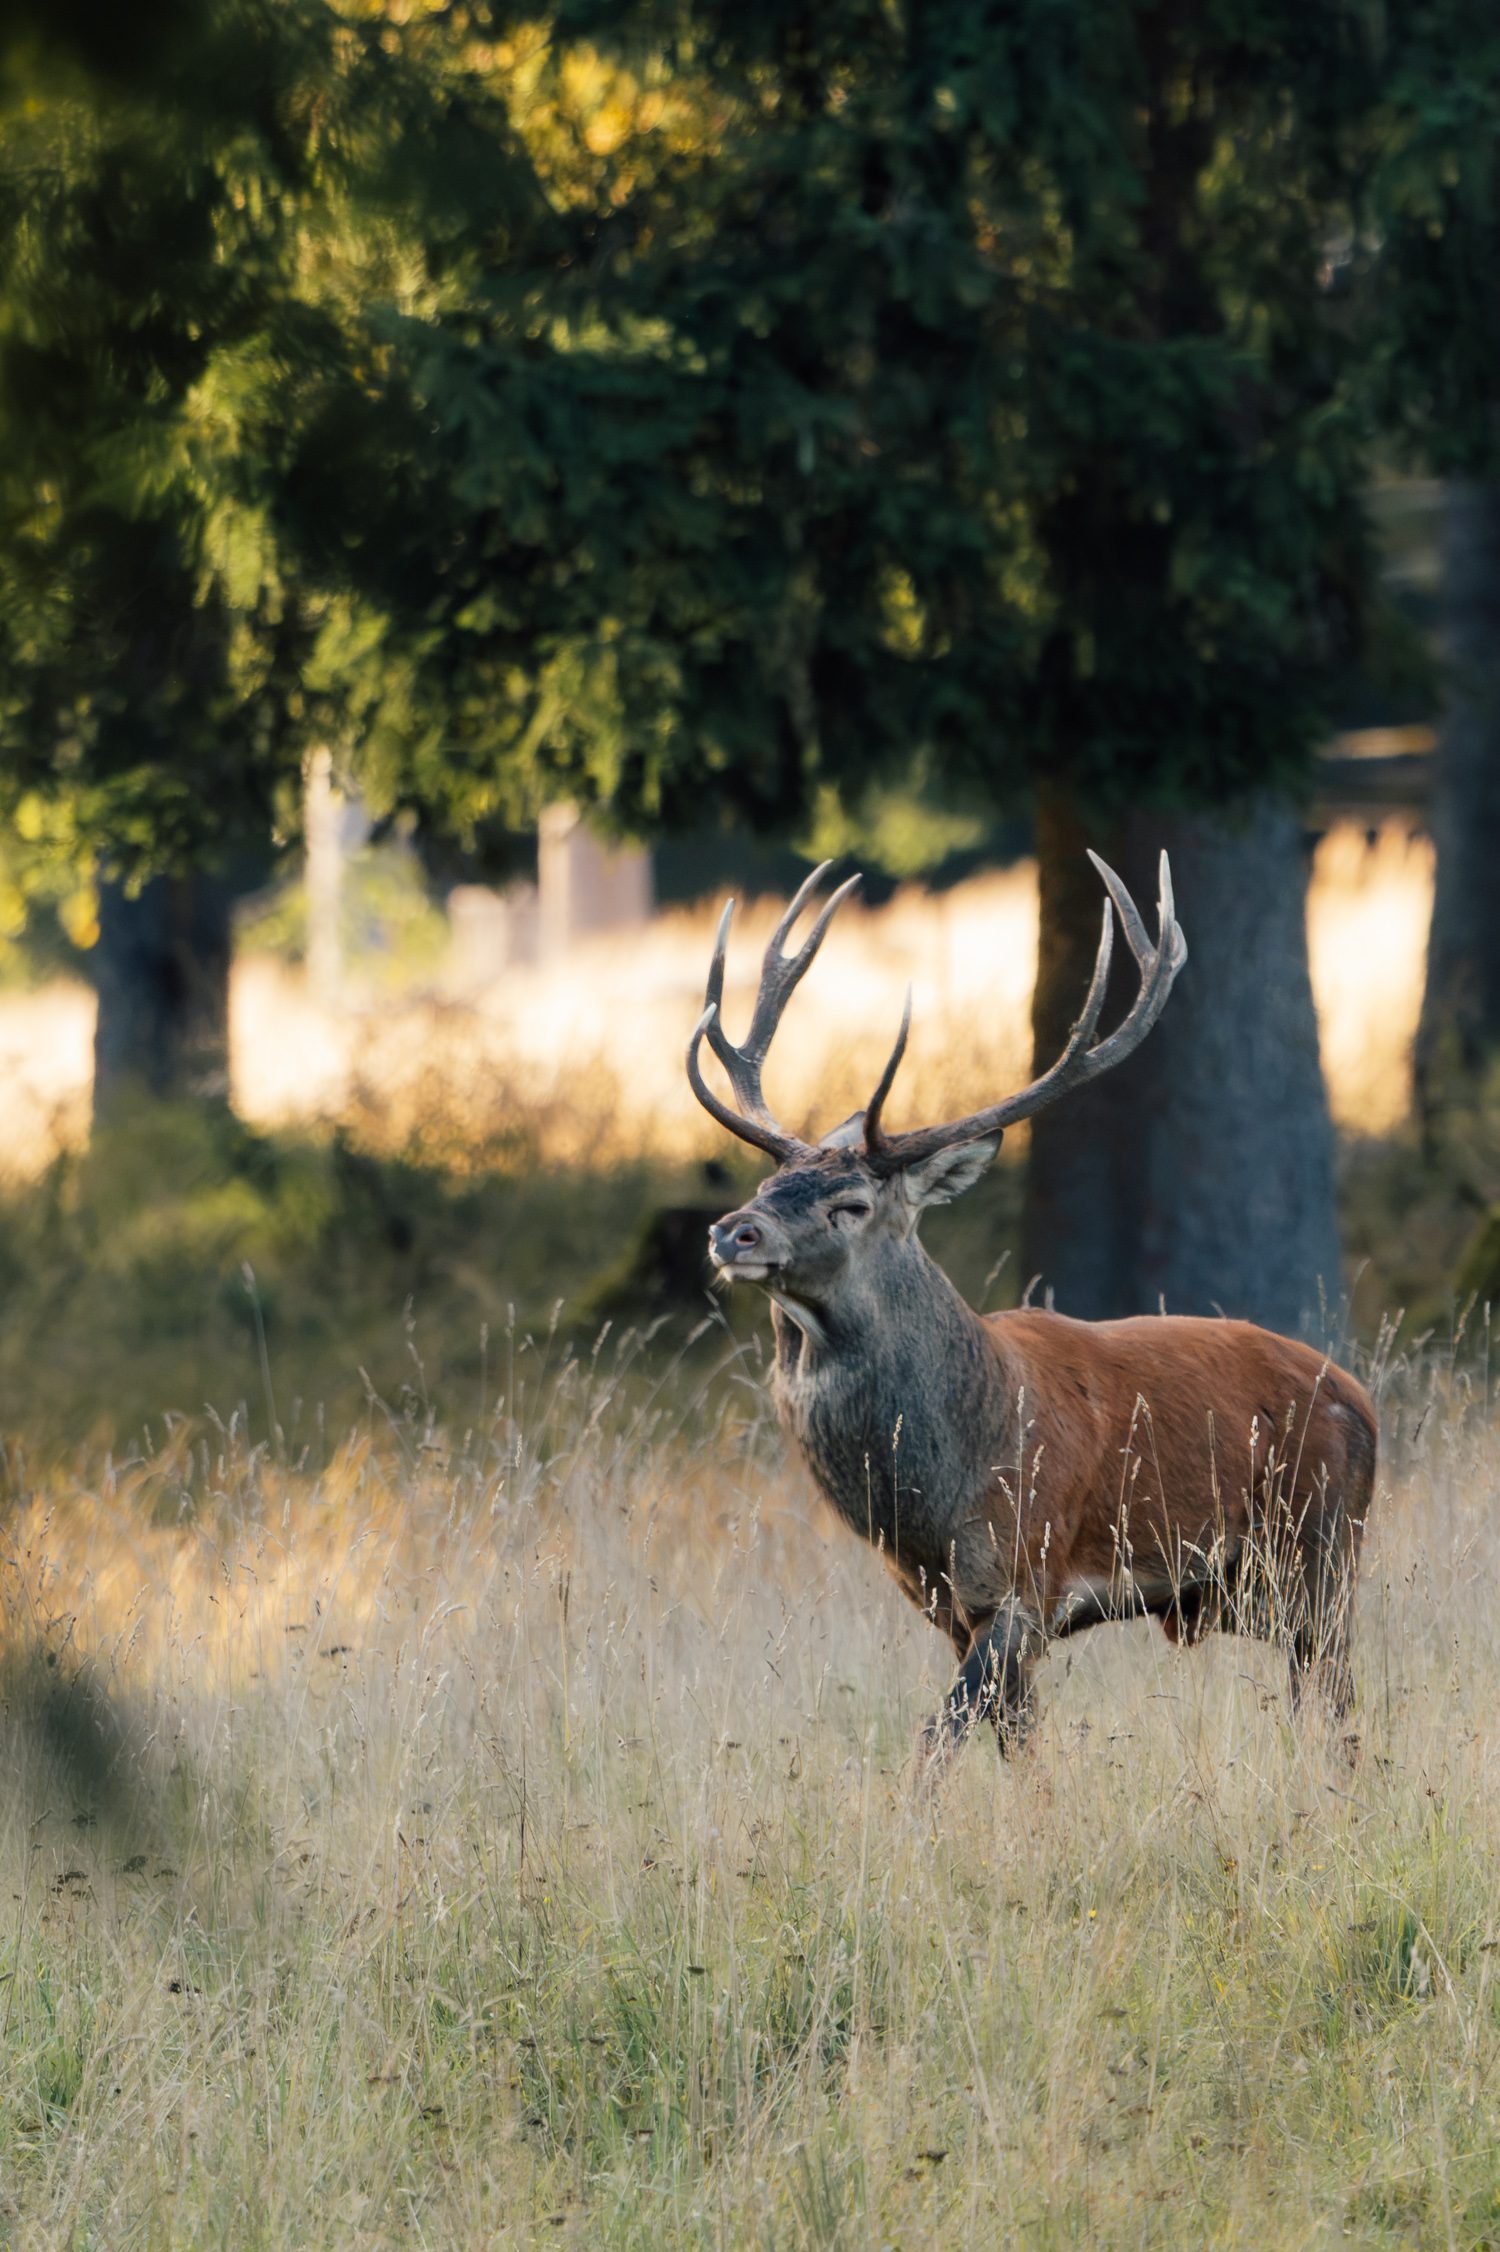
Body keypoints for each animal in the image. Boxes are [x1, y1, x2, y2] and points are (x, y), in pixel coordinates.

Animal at [687, 855, 1377, 1770]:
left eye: (851, 1204)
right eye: (768, 1185)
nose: (732, 1231)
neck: (937, 1499)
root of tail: (1362, 1399)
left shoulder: (1025, 1575)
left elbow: (936, 1743)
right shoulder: (945, 1604)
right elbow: (1020, 1749)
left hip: (1322, 1551)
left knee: (1338, 1700)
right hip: (1250, 1590)